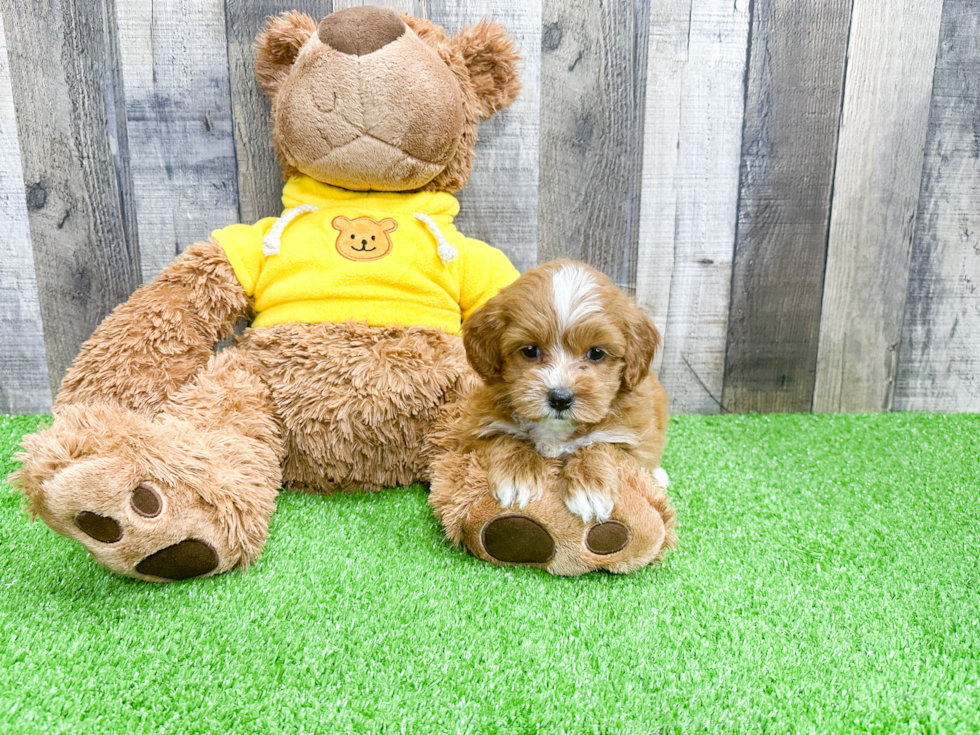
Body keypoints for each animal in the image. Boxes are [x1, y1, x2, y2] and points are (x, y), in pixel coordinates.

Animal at [458, 258, 668, 524]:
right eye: (530, 350)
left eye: (596, 353)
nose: (560, 398)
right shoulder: (471, 432)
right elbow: (507, 437)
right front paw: (517, 477)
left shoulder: (632, 440)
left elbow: (600, 444)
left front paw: (590, 487)